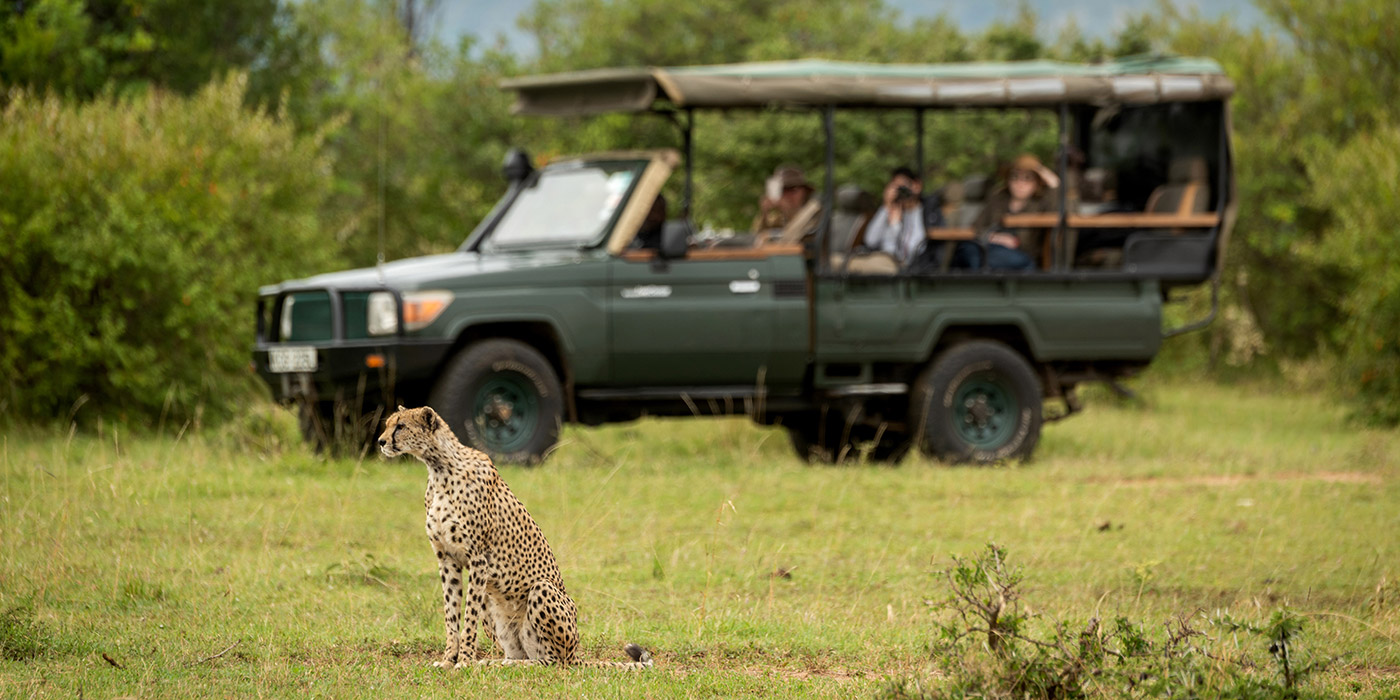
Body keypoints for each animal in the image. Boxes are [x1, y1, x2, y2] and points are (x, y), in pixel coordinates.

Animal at [375, 408, 652, 669]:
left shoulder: (478, 559)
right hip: (494, 608)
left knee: (551, 661)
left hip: (542, 590)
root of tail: (576, 654)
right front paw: (447, 660)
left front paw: (463, 661)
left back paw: (503, 664)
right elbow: (450, 614)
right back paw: (496, 663)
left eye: (401, 426)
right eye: (388, 424)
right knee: (520, 654)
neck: (439, 467)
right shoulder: (447, 559)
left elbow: (468, 617)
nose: (380, 441)